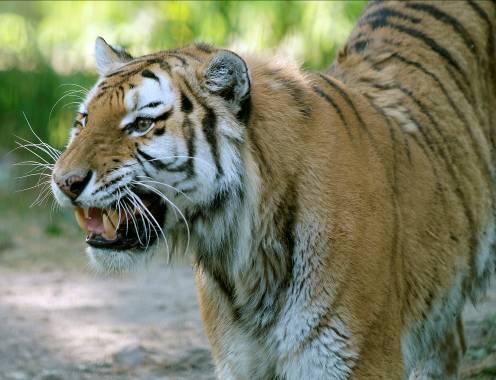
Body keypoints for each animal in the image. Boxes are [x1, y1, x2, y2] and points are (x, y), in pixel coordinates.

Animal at [49, 0, 496, 378]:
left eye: (142, 124)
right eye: (84, 120)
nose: (64, 182)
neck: (244, 253)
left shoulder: (358, 359)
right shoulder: (239, 362)